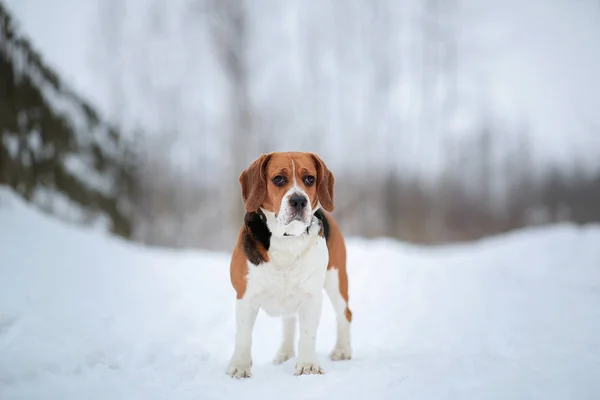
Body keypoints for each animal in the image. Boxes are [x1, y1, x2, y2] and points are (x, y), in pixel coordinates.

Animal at [226, 152, 352, 376]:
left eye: (310, 179)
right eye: (278, 179)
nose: (299, 200)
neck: (287, 238)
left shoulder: (311, 296)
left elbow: (308, 335)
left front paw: (308, 365)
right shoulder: (246, 296)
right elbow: (243, 337)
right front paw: (240, 367)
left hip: (336, 281)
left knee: (345, 314)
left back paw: (342, 350)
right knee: (289, 320)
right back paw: (285, 353)